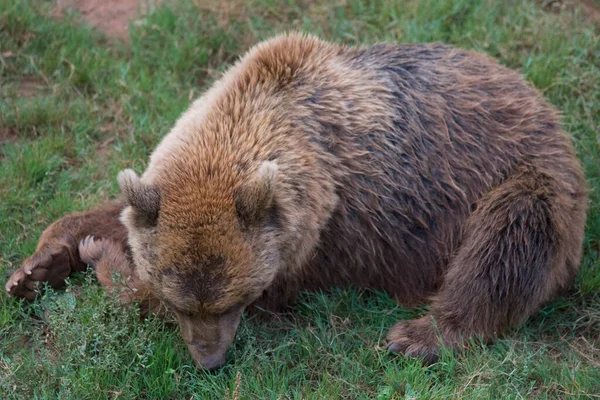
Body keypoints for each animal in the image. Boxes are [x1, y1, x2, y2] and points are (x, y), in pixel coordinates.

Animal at [4, 32, 588, 370]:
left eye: (233, 300)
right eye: (185, 302)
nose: (209, 360)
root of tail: (545, 107)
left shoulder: (332, 236)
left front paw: (102, 260)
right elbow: (119, 214)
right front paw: (42, 263)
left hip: (520, 177)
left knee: (507, 240)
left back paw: (421, 335)